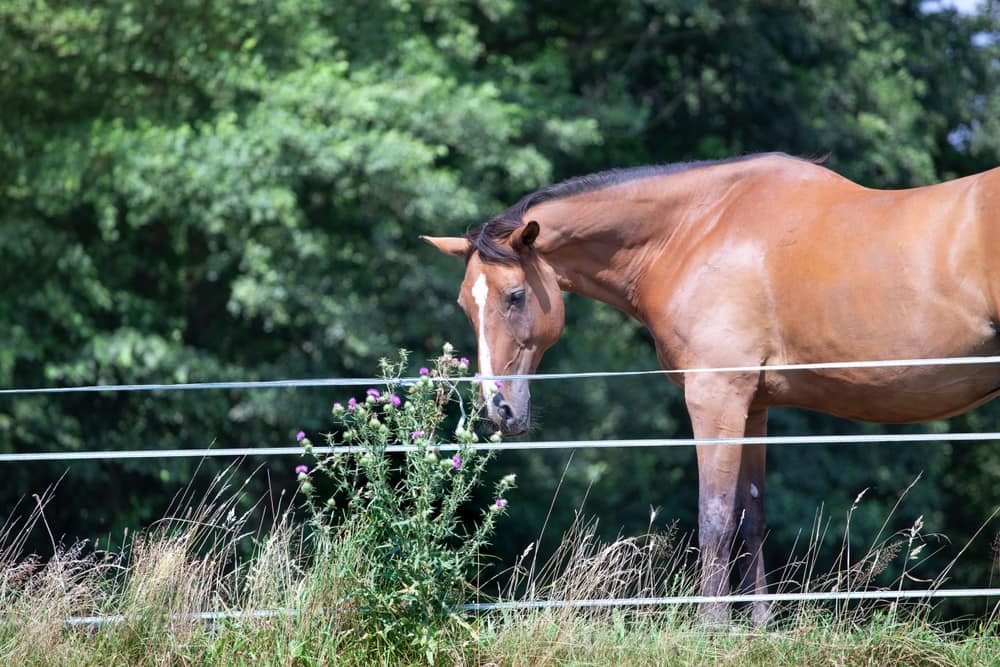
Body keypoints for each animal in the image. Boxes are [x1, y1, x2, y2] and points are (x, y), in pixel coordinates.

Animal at [421, 152, 1000, 624]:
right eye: (465, 304)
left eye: (515, 296)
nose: (498, 409)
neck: (696, 231)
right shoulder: (753, 406)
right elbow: (751, 516)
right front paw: (759, 628)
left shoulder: (716, 397)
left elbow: (715, 517)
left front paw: (712, 628)